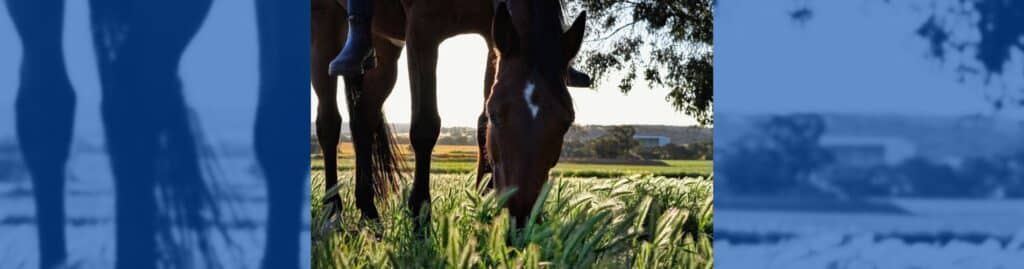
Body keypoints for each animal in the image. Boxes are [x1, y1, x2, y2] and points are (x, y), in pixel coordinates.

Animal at [309, 0, 585, 232]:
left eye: (567, 121)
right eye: (497, 114)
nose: (521, 217)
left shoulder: (492, 34)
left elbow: (481, 127)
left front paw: (483, 205)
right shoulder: (422, 26)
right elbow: (425, 126)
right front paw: (420, 217)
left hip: (384, 44)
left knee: (364, 119)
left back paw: (369, 212)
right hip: (325, 21)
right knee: (329, 123)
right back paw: (332, 210)